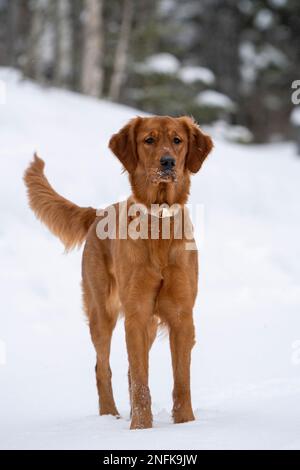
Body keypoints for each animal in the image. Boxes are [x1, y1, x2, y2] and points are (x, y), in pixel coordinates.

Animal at [24, 114, 214, 430]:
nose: (168, 162)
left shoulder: (181, 314)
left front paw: (185, 423)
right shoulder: (136, 313)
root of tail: (99, 212)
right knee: (103, 367)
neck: (158, 227)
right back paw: (108, 414)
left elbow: (181, 380)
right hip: (103, 312)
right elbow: (140, 381)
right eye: (149, 140)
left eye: (177, 140)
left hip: (148, 324)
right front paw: (140, 428)